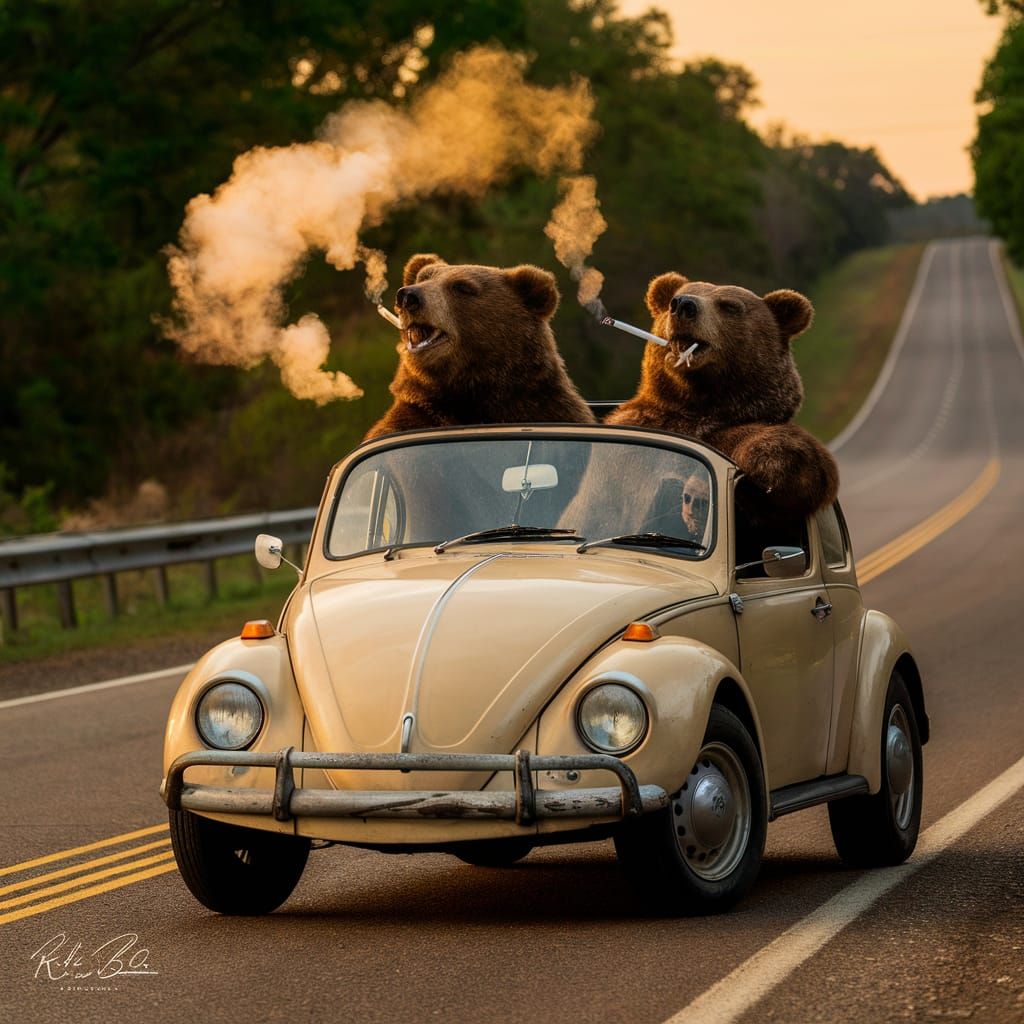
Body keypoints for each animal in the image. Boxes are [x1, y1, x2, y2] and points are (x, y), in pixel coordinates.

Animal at [606, 272, 839, 518]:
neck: (700, 399)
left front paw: (772, 460)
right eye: (674, 298)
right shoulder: (644, 420)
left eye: (729, 306)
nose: (684, 305)